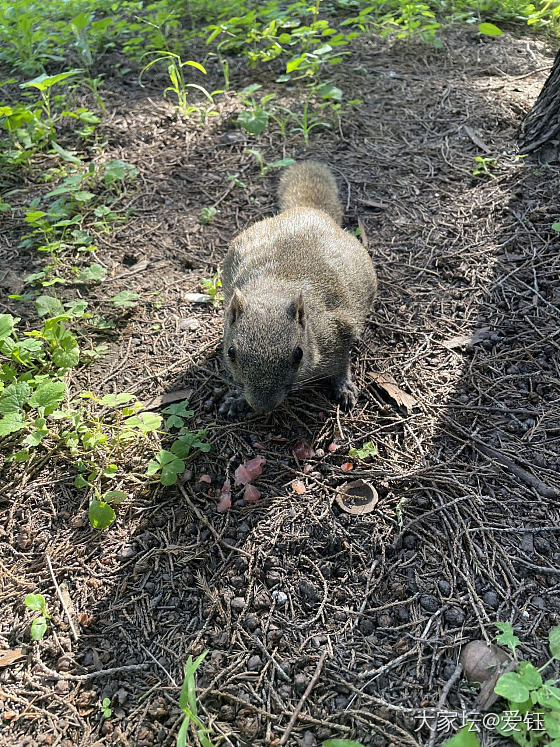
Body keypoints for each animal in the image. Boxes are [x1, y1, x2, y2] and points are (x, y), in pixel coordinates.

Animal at [219, 160, 376, 418]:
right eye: (231, 352)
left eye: (298, 354)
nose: (262, 406)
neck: (274, 291)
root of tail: (307, 210)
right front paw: (237, 398)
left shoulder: (339, 330)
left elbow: (342, 364)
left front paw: (343, 386)